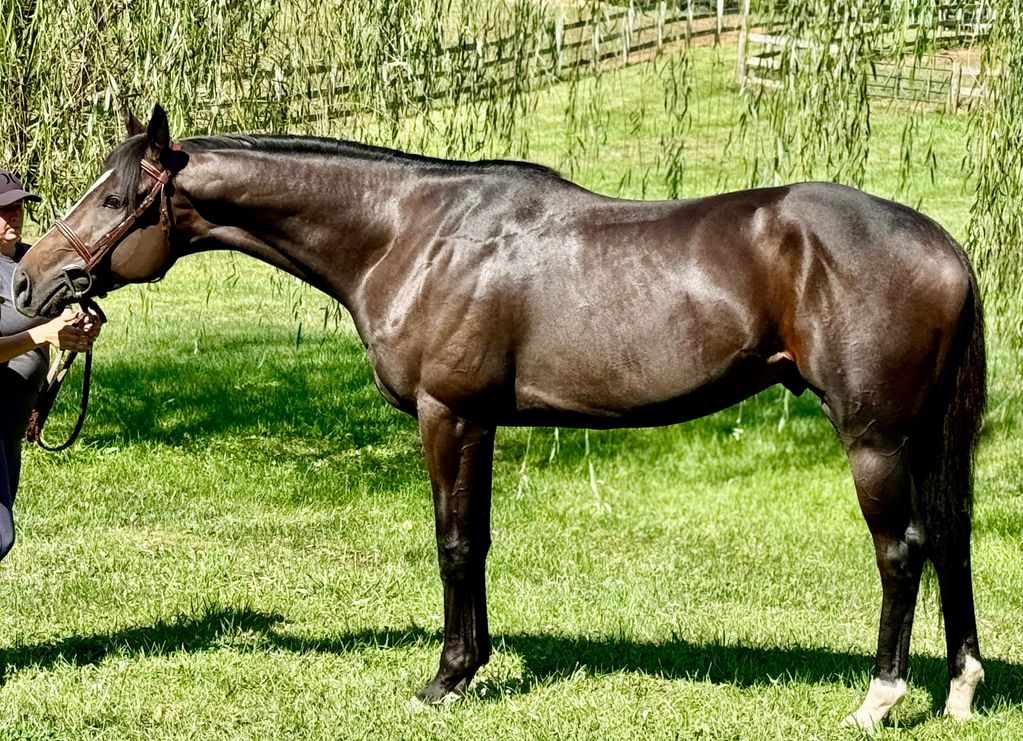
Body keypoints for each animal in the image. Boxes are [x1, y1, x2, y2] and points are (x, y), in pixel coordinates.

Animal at [13, 105, 985, 728]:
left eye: (115, 198)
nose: (27, 282)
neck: (404, 233)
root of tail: (943, 246)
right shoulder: (475, 421)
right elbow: (474, 541)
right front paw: (469, 666)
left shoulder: (450, 415)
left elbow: (454, 543)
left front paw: (446, 678)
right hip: (929, 437)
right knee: (950, 541)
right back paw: (960, 688)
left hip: (873, 437)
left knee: (902, 551)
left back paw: (878, 698)